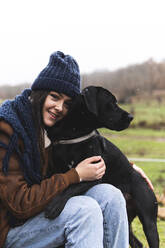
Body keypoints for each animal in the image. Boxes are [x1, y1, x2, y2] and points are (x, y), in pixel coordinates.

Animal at [44, 86, 159, 247]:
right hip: (127, 219)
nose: (131, 117)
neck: (75, 132)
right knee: (137, 243)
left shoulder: (94, 174)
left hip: (149, 223)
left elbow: (71, 187)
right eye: (112, 102)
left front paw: (55, 205)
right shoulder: (57, 171)